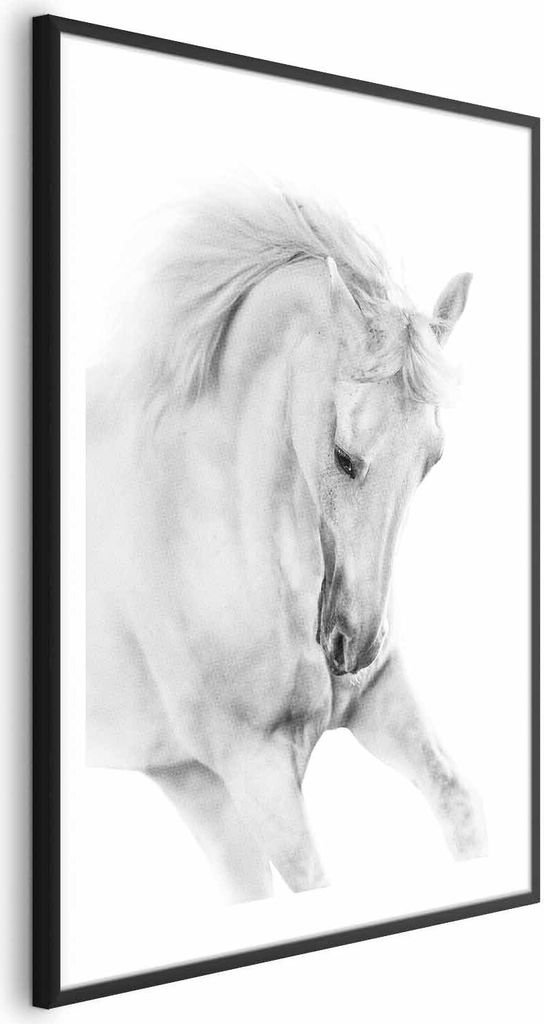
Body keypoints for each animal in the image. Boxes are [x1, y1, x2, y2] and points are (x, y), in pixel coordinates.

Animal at [86, 184, 487, 902]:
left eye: (433, 459)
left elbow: (459, 804)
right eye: (344, 455)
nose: (354, 646)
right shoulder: (255, 774)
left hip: (188, 786)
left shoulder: (381, 702)